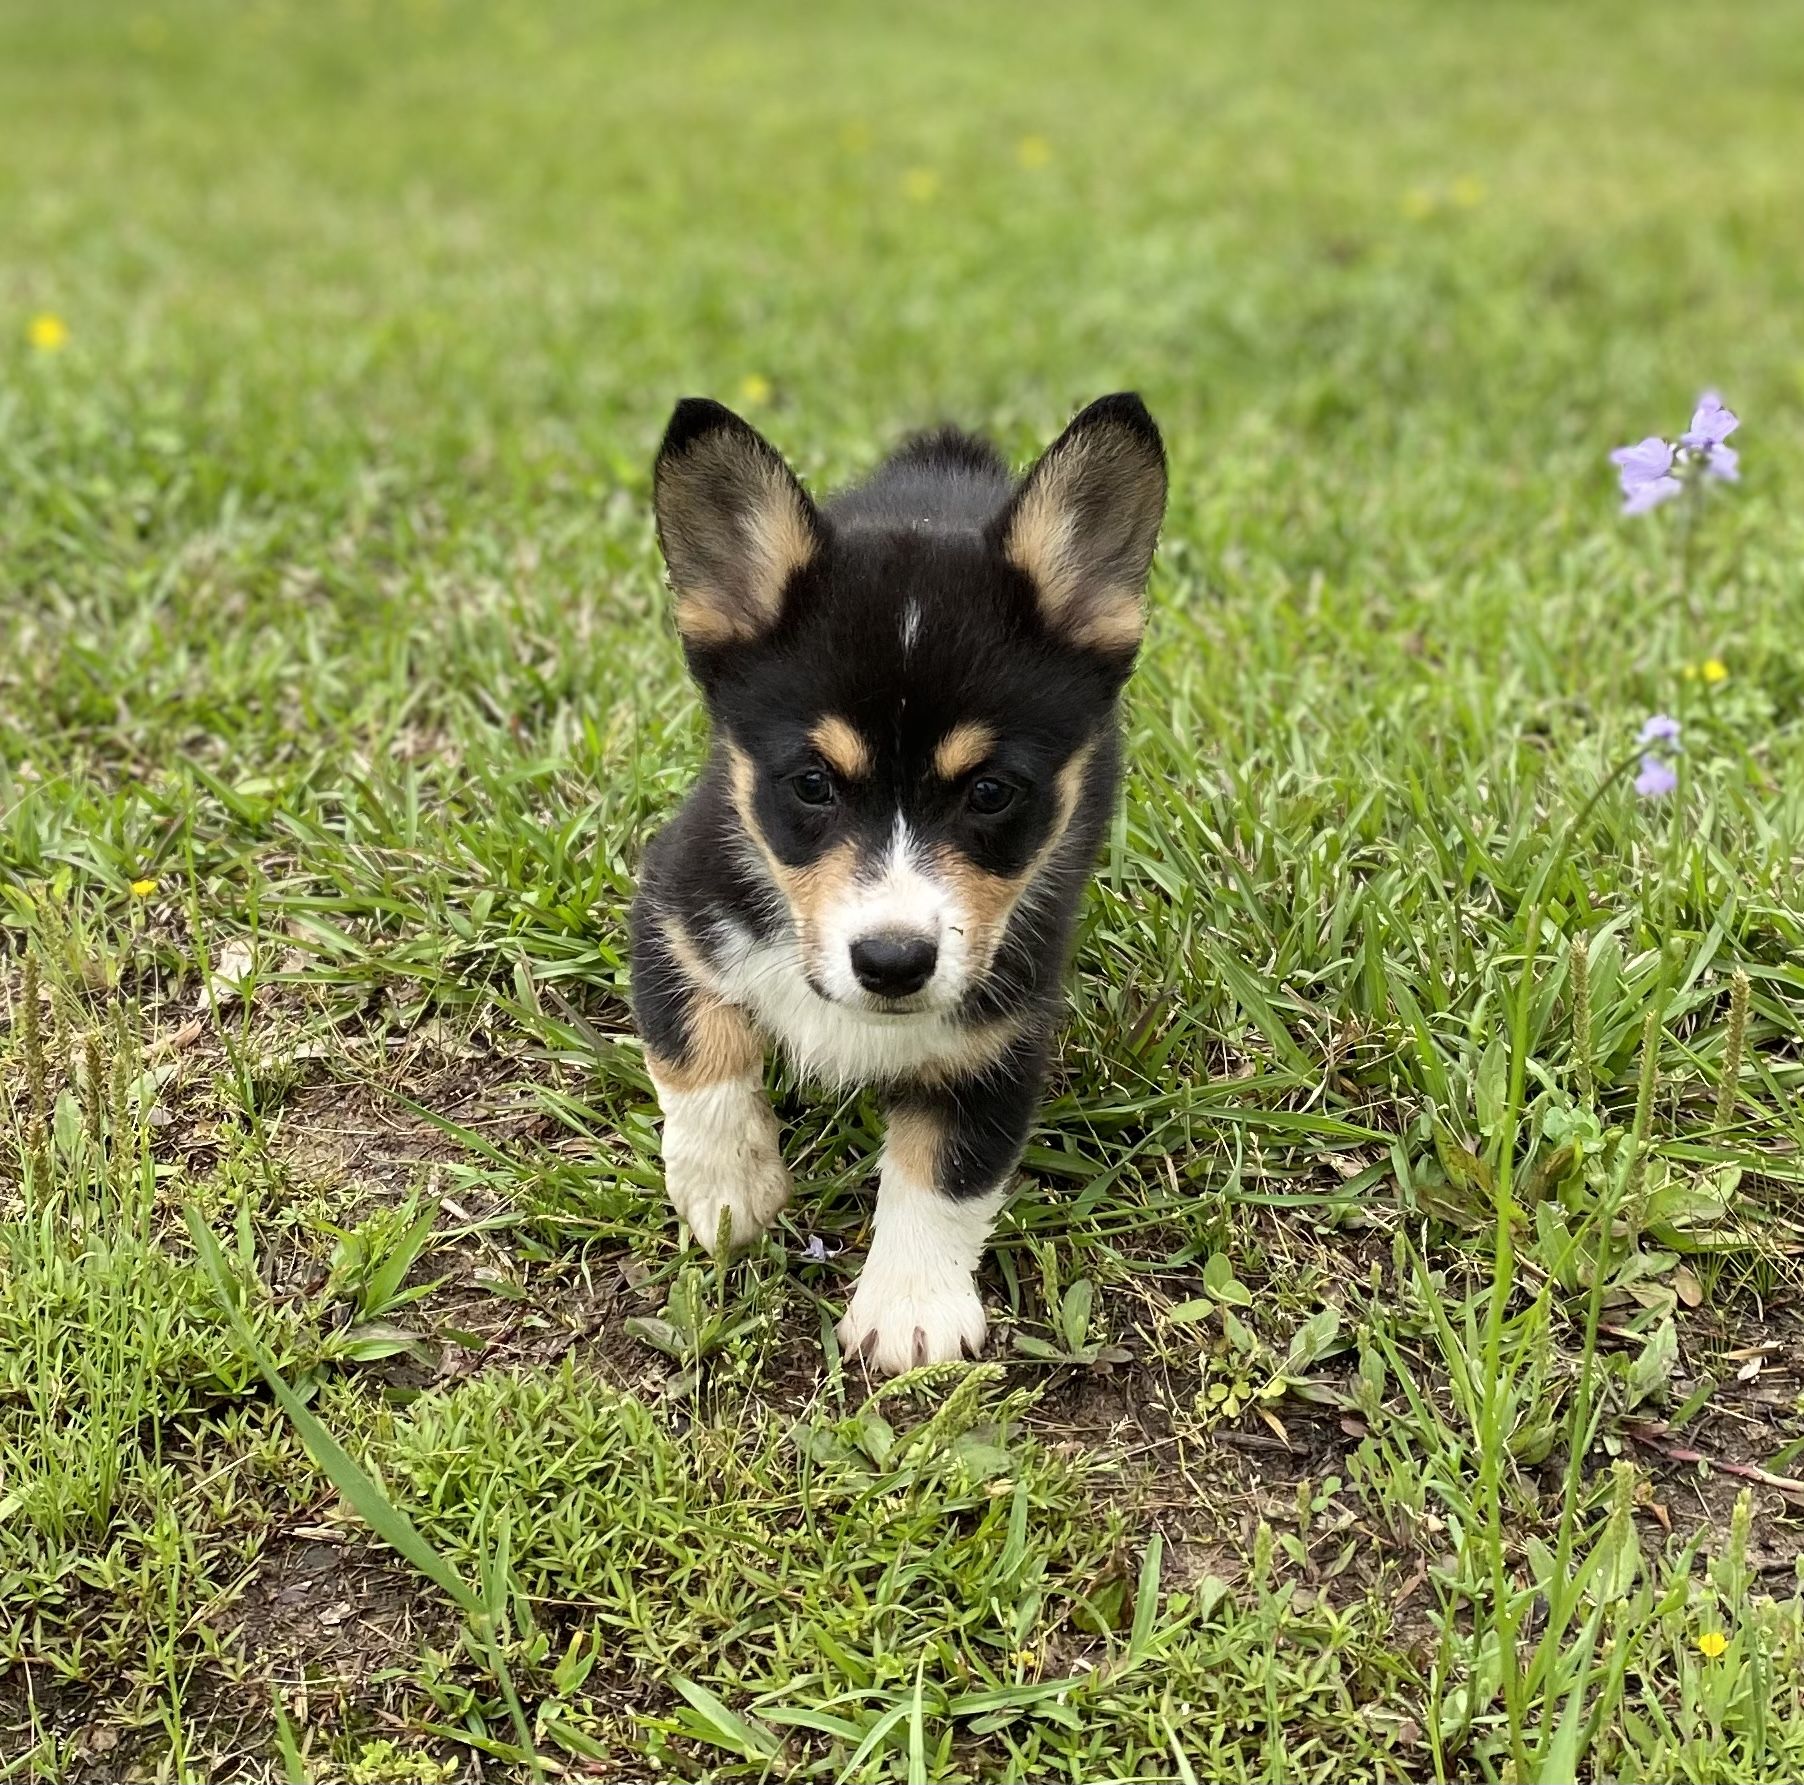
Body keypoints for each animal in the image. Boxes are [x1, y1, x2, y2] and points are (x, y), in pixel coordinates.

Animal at [629, 393, 1166, 1373]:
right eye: (811, 783)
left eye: (991, 792)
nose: (891, 962)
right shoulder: (676, 902)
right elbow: (696, 1048)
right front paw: (730, 1187)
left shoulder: (1000, 1035)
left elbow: (945, 1172)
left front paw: (912, 1309)